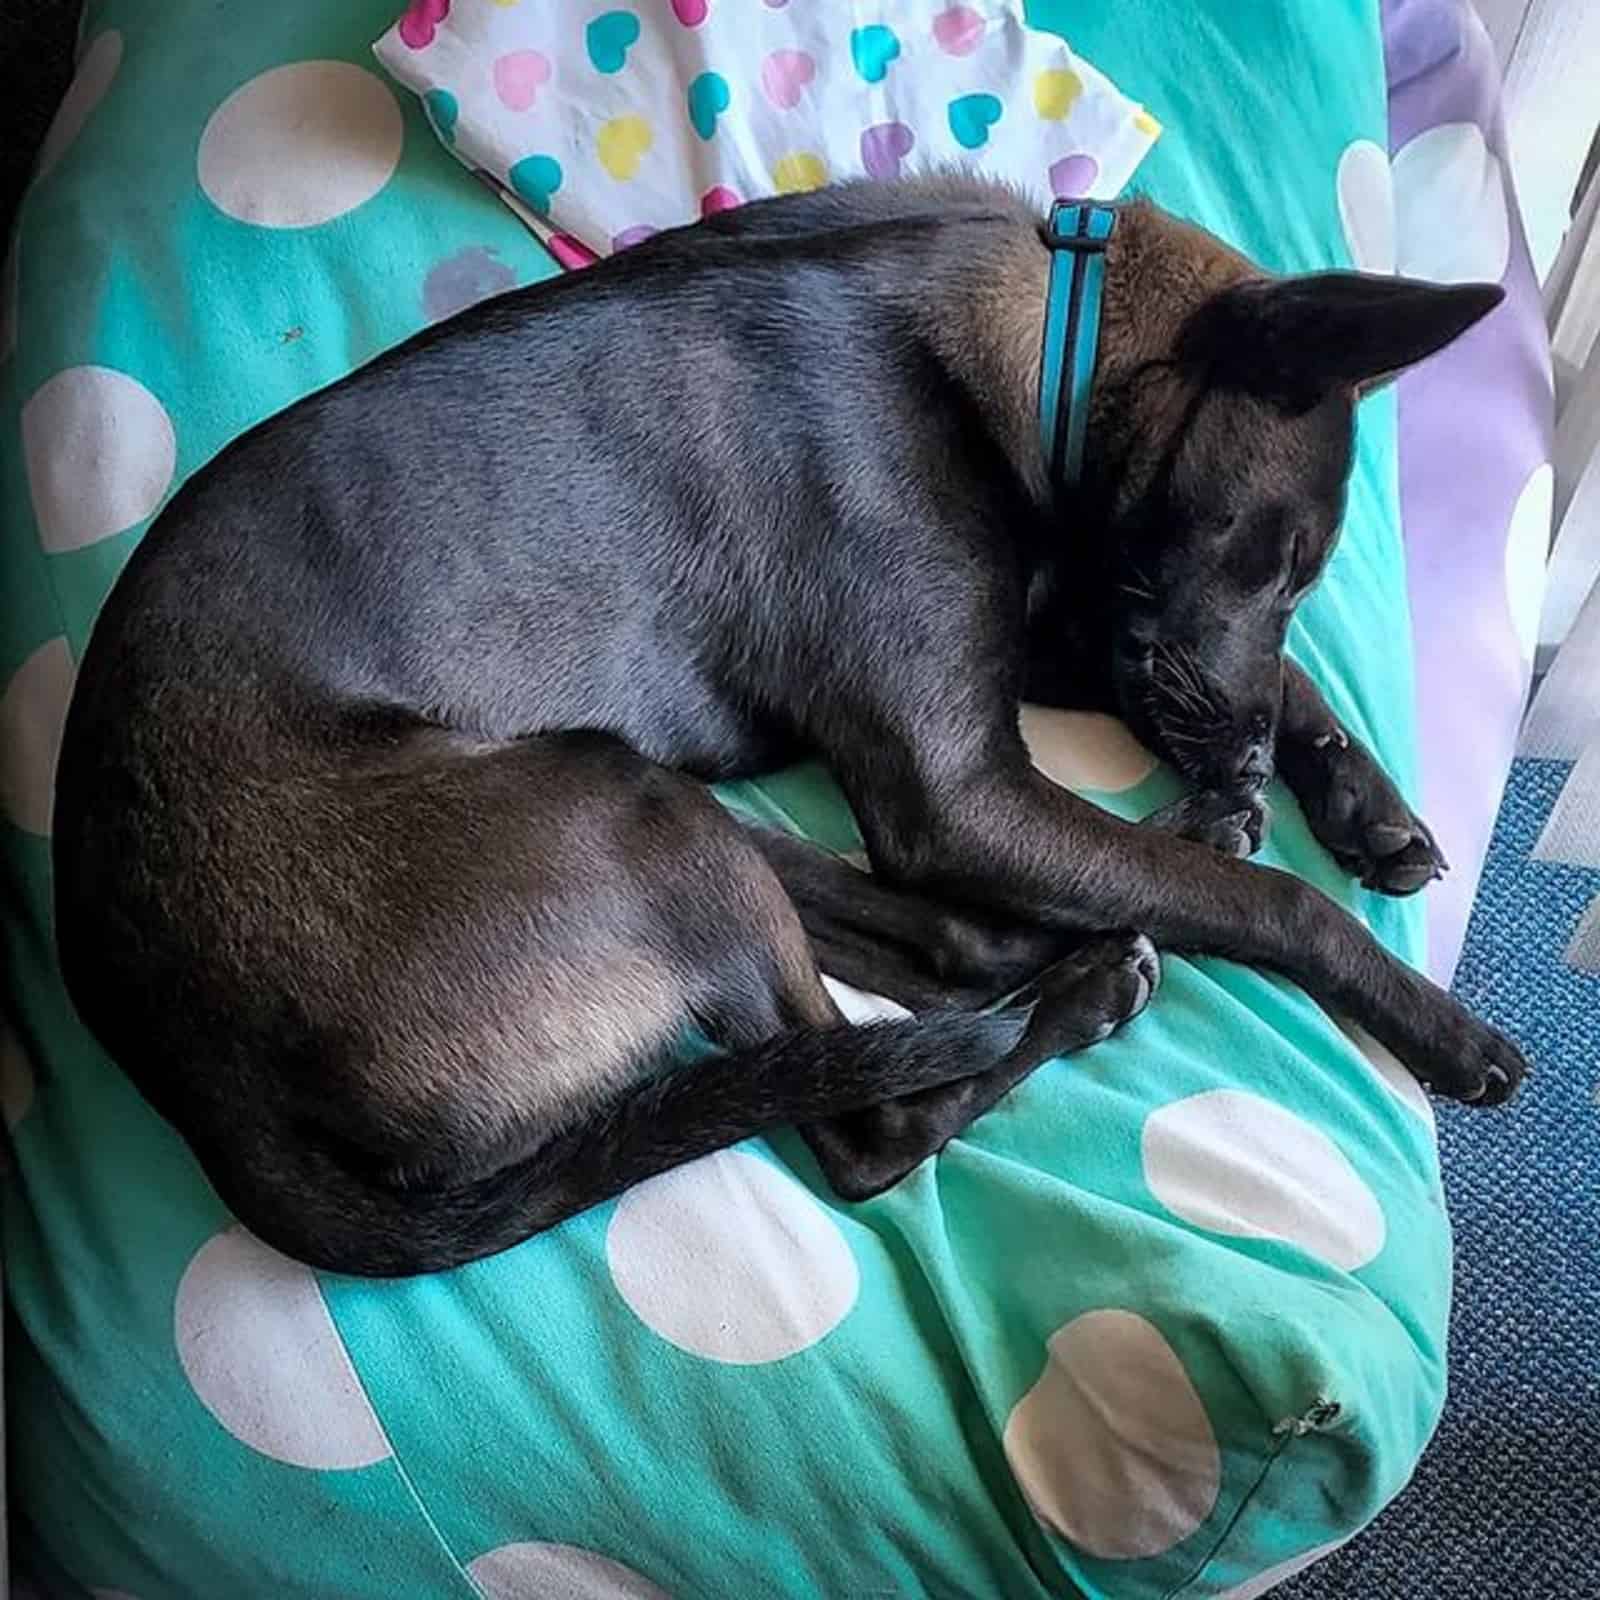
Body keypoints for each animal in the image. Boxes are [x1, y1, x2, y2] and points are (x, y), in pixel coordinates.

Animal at [53, 175, 1523, 1273]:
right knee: (869, 1118)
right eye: (1277, 560)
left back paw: (1166, 864)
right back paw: (1092, 980)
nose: (1248, 755)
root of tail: (195, 1082)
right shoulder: (959, 786)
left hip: (660, 805)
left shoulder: (1060, 626)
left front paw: (1361, 803)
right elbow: (1284, 908)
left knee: (950, 949)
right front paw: (1435, 1025)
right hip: (619, 811)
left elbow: (1282, 694)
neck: (1038, 333)